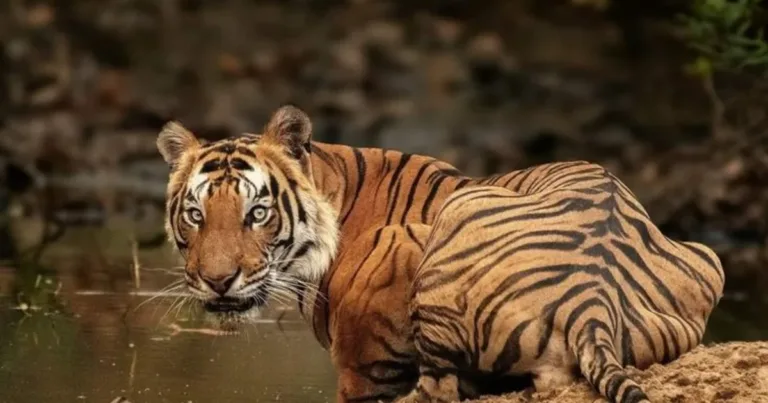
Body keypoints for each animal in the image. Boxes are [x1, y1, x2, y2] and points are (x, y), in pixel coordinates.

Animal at [156, 105, 724, 403]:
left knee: (439, 387)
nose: (219, 281)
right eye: (195, 215)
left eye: (257, 213)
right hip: (707, 254)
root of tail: (593, 301)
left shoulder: (364, 368)